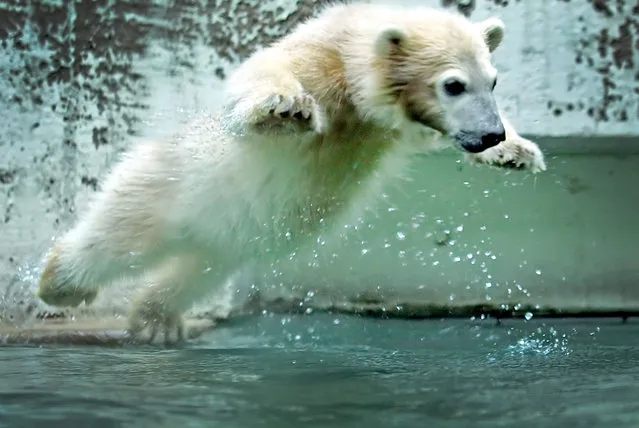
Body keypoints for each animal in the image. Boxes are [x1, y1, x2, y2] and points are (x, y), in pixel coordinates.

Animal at [35, 2, 544, 344]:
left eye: (493, 80)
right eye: (453, 85)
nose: (489, 135)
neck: (356, 96)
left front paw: (517, 151)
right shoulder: (324, 56)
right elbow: (267, 70)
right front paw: (286, 106)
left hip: (227, 242)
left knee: (194, 270)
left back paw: (156, 320)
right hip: (169, 184)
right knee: (120, 235)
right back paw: (61, 283)